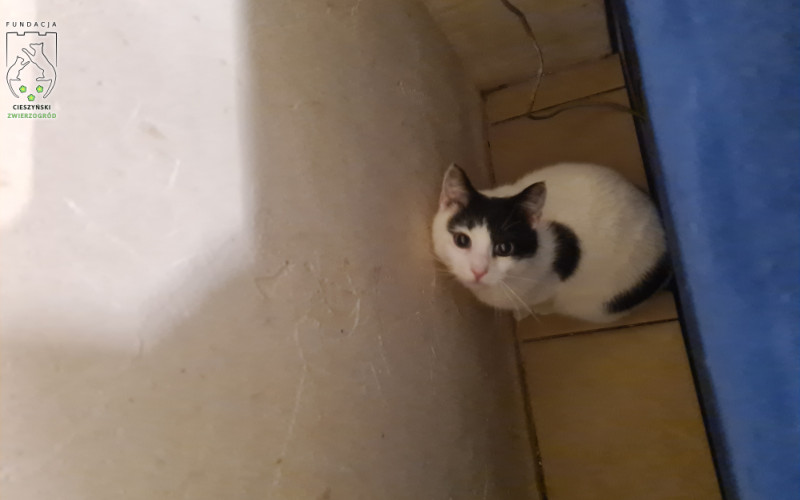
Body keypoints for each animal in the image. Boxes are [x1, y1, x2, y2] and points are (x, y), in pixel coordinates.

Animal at [432, 162, 671, 323]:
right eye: (462, 240)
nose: (478, 271)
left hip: (596, 303)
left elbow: (538, 300)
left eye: (505, 248)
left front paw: (527, 310)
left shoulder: (550, 282)